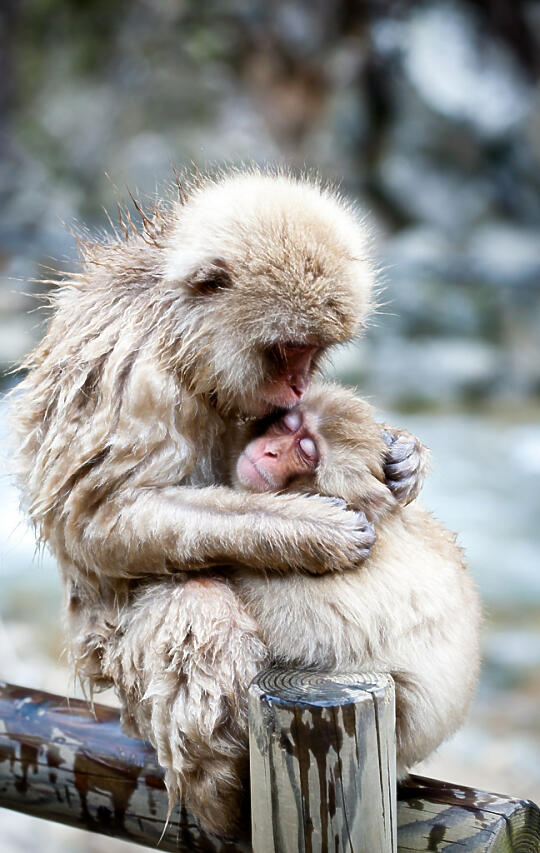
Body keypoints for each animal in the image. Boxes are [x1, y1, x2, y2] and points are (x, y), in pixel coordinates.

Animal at [10, 166, 428, 824]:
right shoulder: (130, 372)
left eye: (313, 352)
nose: (299, 384)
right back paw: (227, 793)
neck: (180, 344)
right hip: (113, 668)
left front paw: (404, 457)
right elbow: (99, 519)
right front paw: (312, 531)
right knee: (192, 601)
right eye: (287, 351)